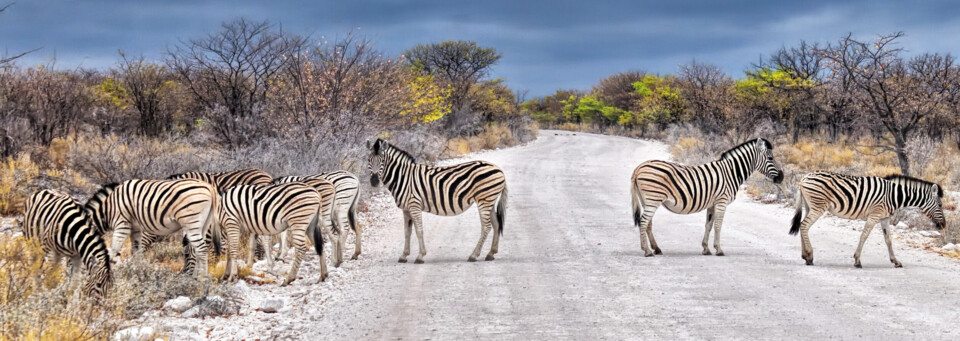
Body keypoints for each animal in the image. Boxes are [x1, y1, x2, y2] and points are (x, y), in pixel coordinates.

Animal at [84, 179, 218, 280]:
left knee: (201, 249)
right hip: (203, 224)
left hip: (191, 223)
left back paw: (202, 278)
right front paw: (137, 273)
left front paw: (113, 275)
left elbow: (113, 252)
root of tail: (209, 187)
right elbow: (137, 252)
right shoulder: (135, 229)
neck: (108, 209)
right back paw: (195, 276)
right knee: (197, 249)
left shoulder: (122, 224)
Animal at [366, 137, 510, 262]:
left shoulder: (414, 204)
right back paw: (491, 253)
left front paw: (420, 256)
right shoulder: (406, 208)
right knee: (496, 224)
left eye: (382, 161)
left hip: (484, 200)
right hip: (489, 200)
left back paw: (474, 255)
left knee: (486, 227)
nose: (374, 181)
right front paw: (404, 255)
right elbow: (407, 232)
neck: (402, 177)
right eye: (368, 160)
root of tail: (499, 169)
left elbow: (419, 230)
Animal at [632, 137, 784, 255]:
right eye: (770, 158)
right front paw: (719, 250)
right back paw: (647, 251)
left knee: (648, 223)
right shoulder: (722, 201)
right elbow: (718, 225)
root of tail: (639, 168)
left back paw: (656, 249)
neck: (731, 172)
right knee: (644, 221)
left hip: (648, 200)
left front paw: (706, 249)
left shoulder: (712, 204)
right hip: (653, 199)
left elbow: (709, 225)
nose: (781, 177)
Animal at [788, 171, 944, 266]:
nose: (943, 225)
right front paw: (857, 260)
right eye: (940, 205)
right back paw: (809, 256)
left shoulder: (884, 217)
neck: (894, 195)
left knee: (802, 226)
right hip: (818, 207)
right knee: (804, 225)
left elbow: (888, 240)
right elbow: (864, 235)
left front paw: (895, 261)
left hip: (809, 206)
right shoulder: (875, 215)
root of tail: (803, 178)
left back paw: (805, 256)